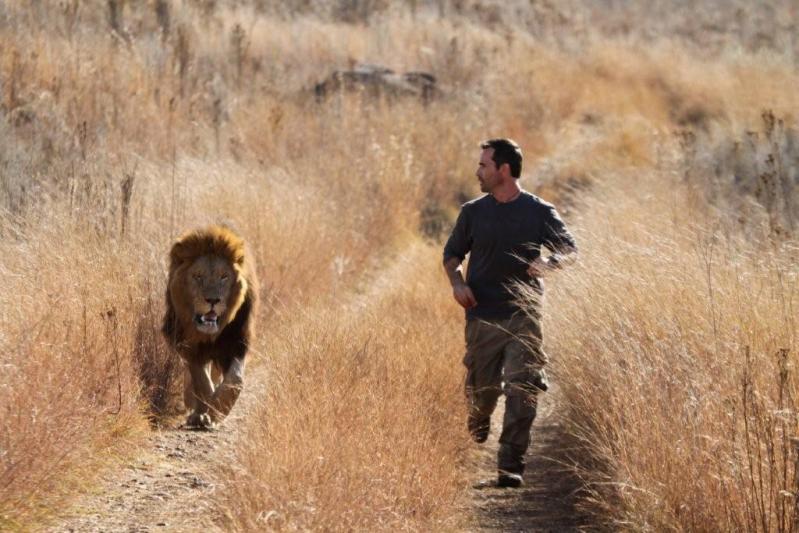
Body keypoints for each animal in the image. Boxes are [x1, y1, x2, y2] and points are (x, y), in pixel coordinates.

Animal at [162, 224, 260, 428]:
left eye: (224, 277)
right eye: (198, 276)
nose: (213, 300)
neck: (209, 334)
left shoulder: (237, 342)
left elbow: (235, 379)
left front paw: (218, 410)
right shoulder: (187, 344)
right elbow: (201, 381)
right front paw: (203, 412)